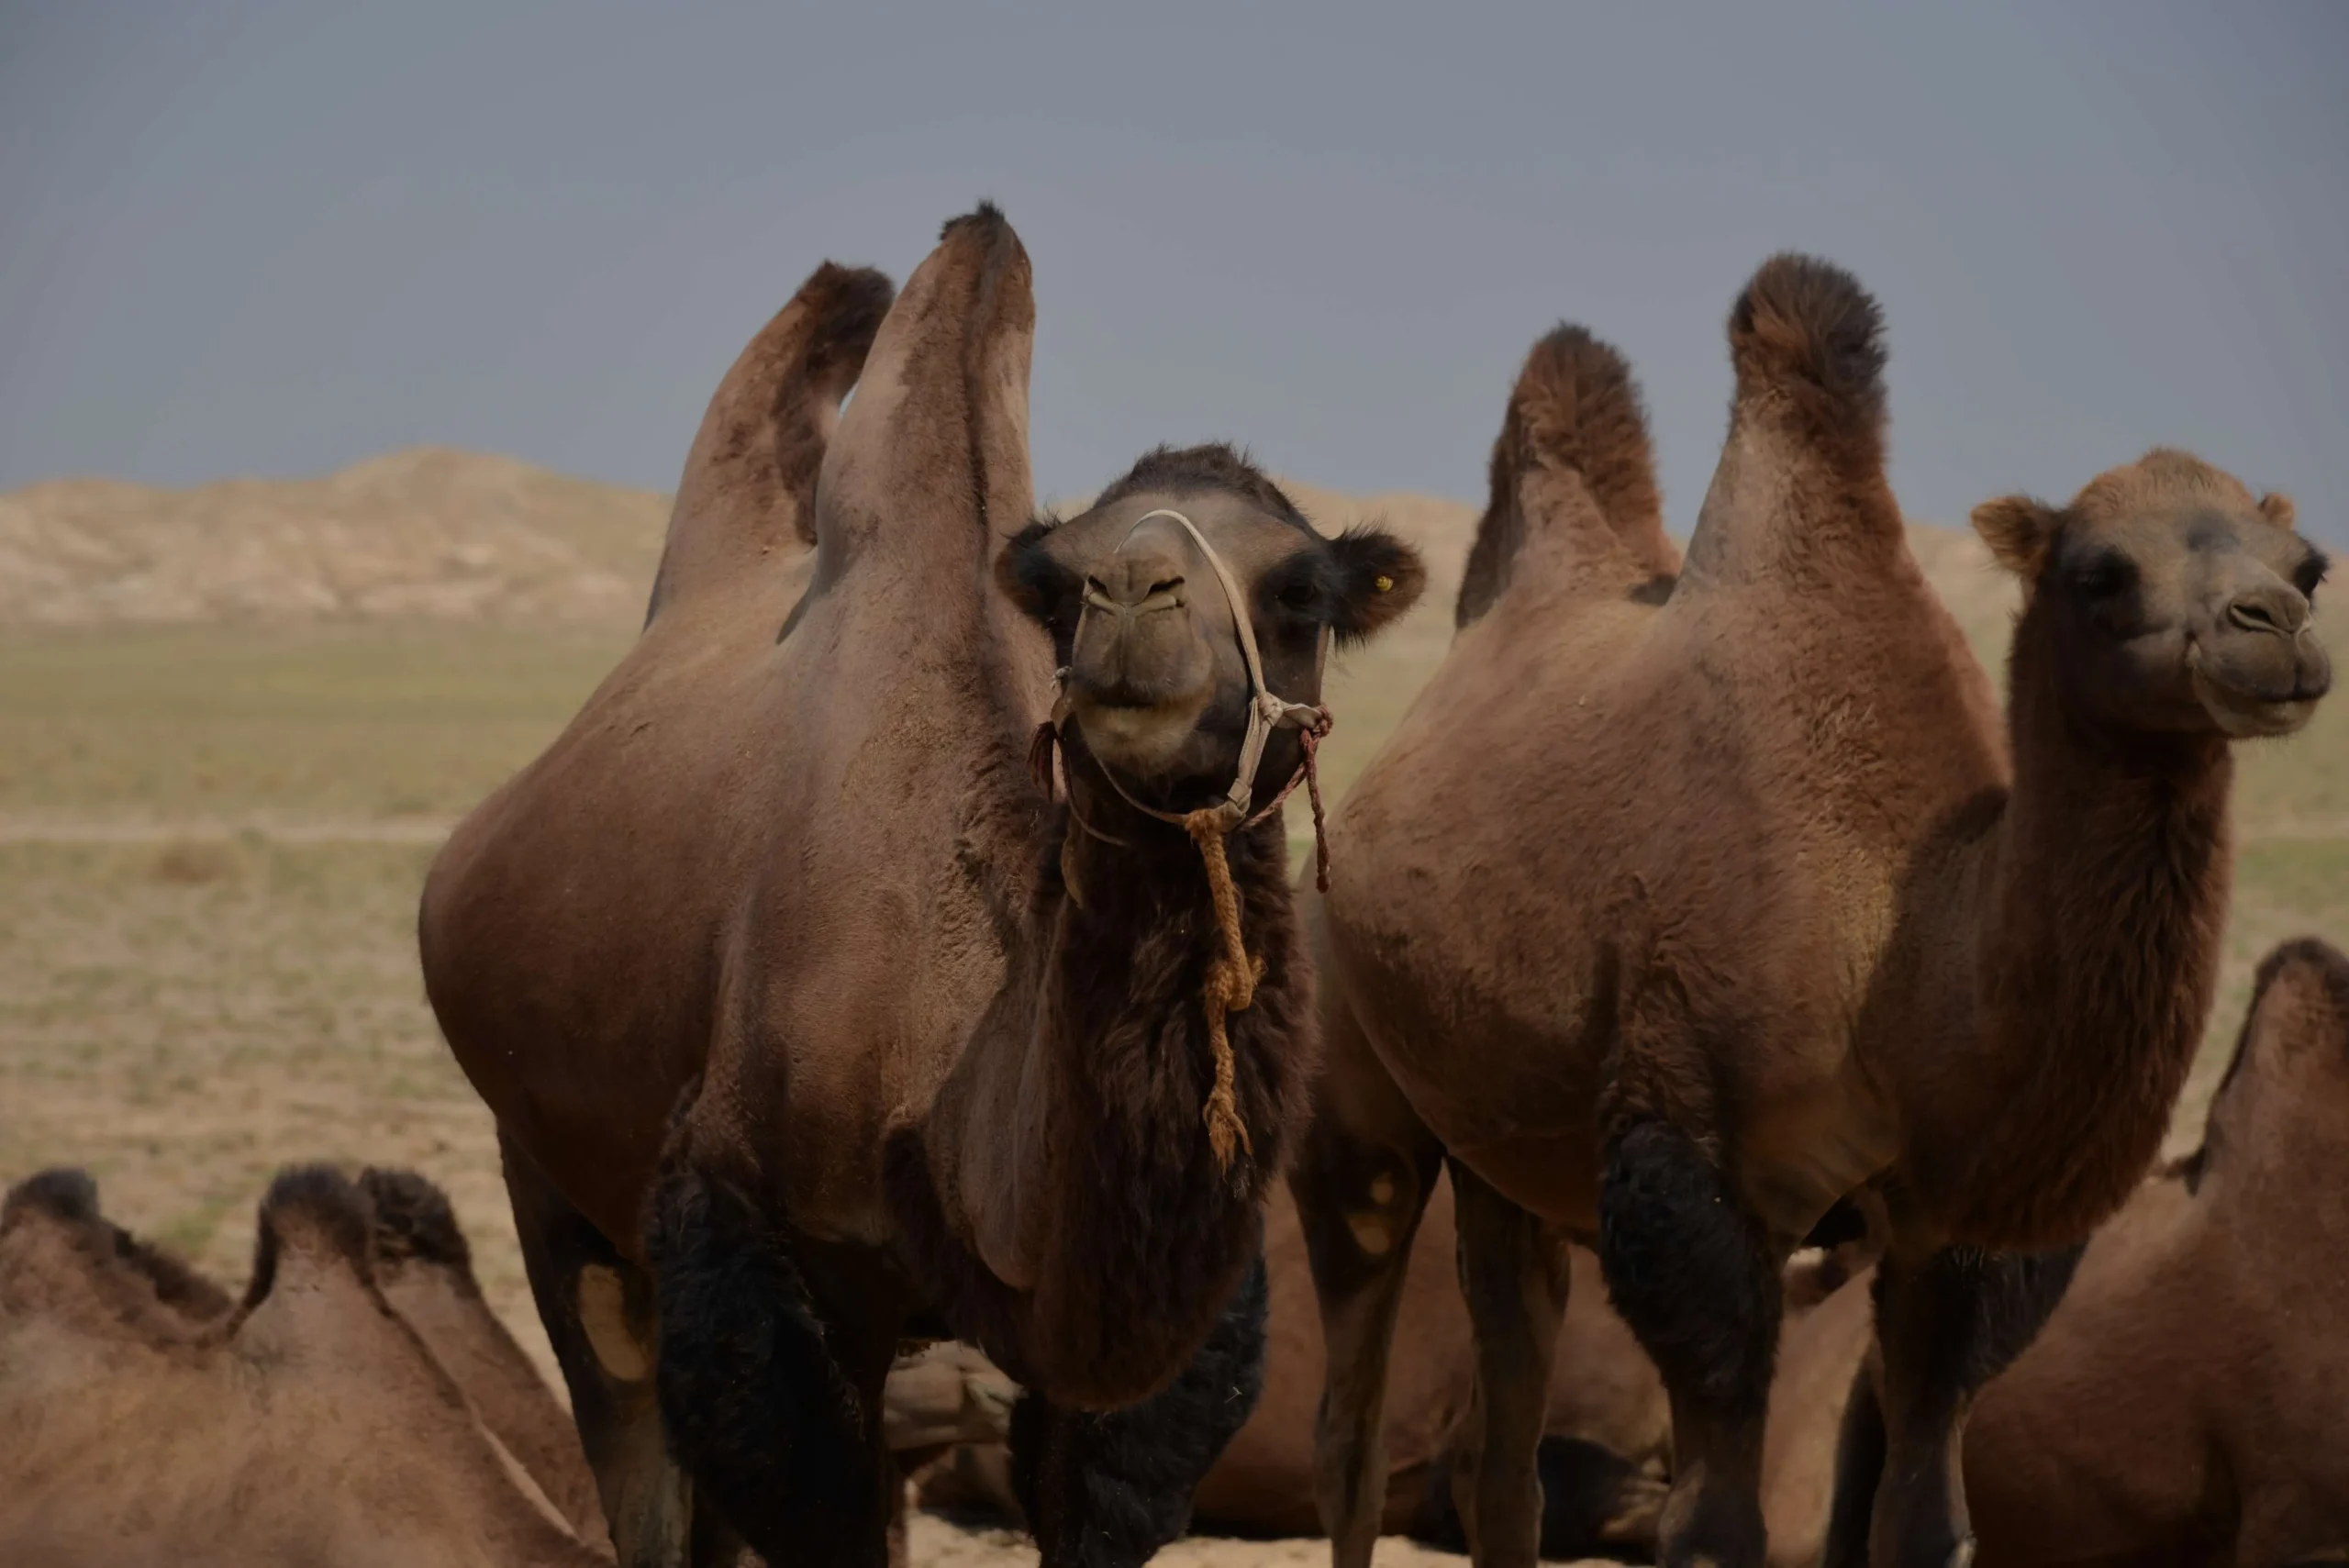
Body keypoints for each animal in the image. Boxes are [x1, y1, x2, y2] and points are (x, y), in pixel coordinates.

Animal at [417, 204, 1427, 1568]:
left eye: (1300, 589)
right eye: (1060, 582)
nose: (1133, 601)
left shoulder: (1134, 1358)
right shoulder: (758, 1251)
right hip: (546, 1174)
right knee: (637, 1452)